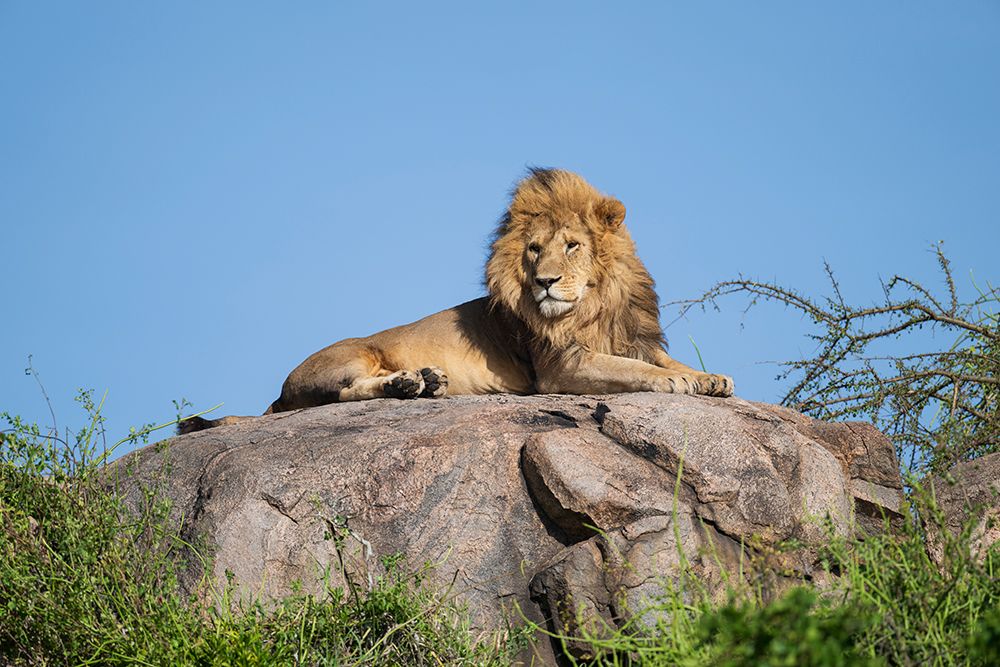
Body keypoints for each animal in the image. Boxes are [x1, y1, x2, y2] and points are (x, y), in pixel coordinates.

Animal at [179, 168, 733, 433]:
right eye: (535, 249)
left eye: (573, 245)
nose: (545, 282)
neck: (597, 304)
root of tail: (277, 394)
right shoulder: (561, 367)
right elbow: (638, 371)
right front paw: (680, 382)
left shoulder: (634, 339)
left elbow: (661, 360)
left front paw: (712, 378)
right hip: (352, 355)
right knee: (345, 394)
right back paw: (406, 383)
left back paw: (424, 382)